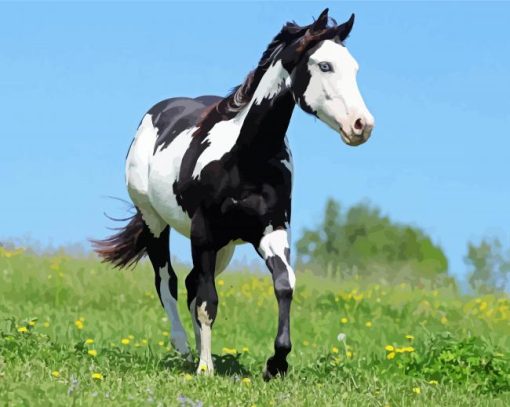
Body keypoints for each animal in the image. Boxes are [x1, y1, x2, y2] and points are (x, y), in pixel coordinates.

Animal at [92, 8, 374, 380]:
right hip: (156, 223)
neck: (245, 159)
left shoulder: (271, 231)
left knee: (192, 285)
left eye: (354, 67)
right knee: (167, 281)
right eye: (324, 65)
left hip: (224, 247)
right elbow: (207, 301)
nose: (362, 125)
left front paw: (276, 363)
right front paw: (205, 369)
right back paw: (184, 348)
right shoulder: (204, 233)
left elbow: (283, 284)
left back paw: (199, 351)